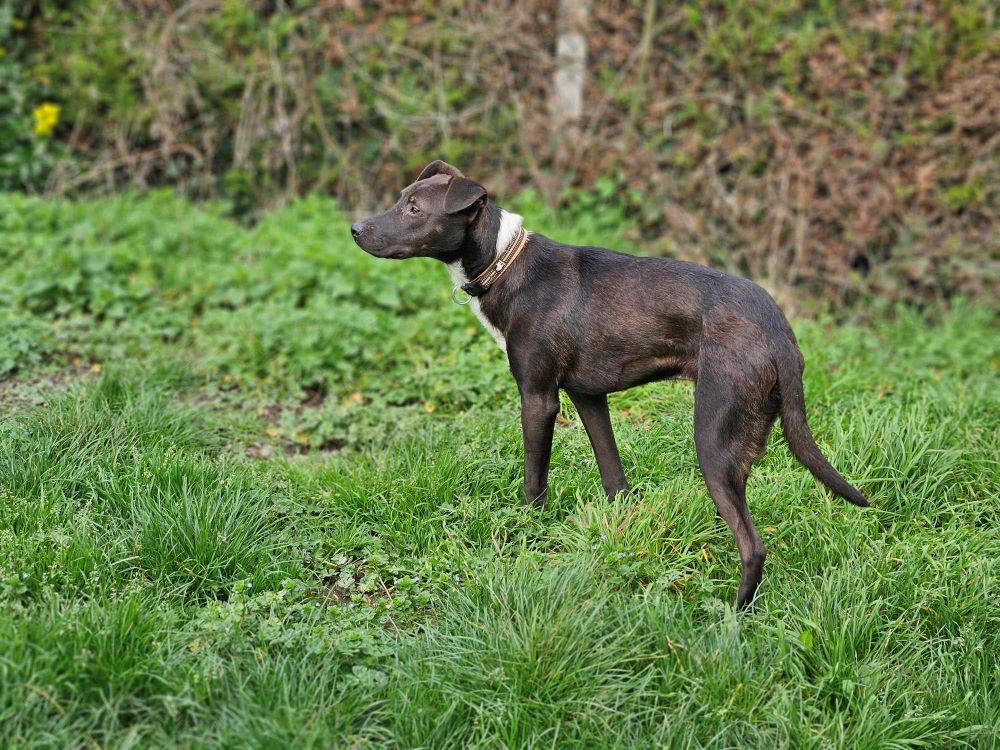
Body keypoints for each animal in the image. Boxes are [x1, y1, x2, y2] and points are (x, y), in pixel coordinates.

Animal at [354, 162, 868, 608]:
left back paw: (734, 615)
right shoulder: (588, 397)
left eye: (414, 208)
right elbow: (614, 475)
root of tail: (777, 327)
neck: (504, 262)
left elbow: (534, 480)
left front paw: (528, 532)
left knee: (752, 545)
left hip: (714, 437)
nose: (355, 229)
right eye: (401, 198)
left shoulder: (539, 398)